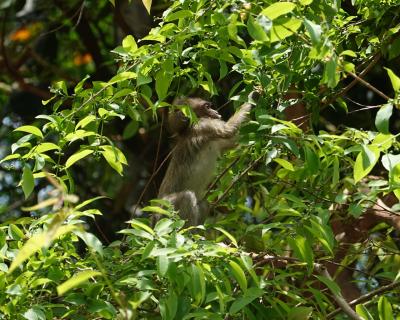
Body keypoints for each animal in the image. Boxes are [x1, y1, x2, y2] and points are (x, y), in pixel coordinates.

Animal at [158, 97, 252, 225]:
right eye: (207, 107)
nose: (216, 112)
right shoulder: (204, 125)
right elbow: (229, 130)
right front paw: (254, 96)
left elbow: (235, 142)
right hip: (166, 208)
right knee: (187, 197)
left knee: (203, 204)